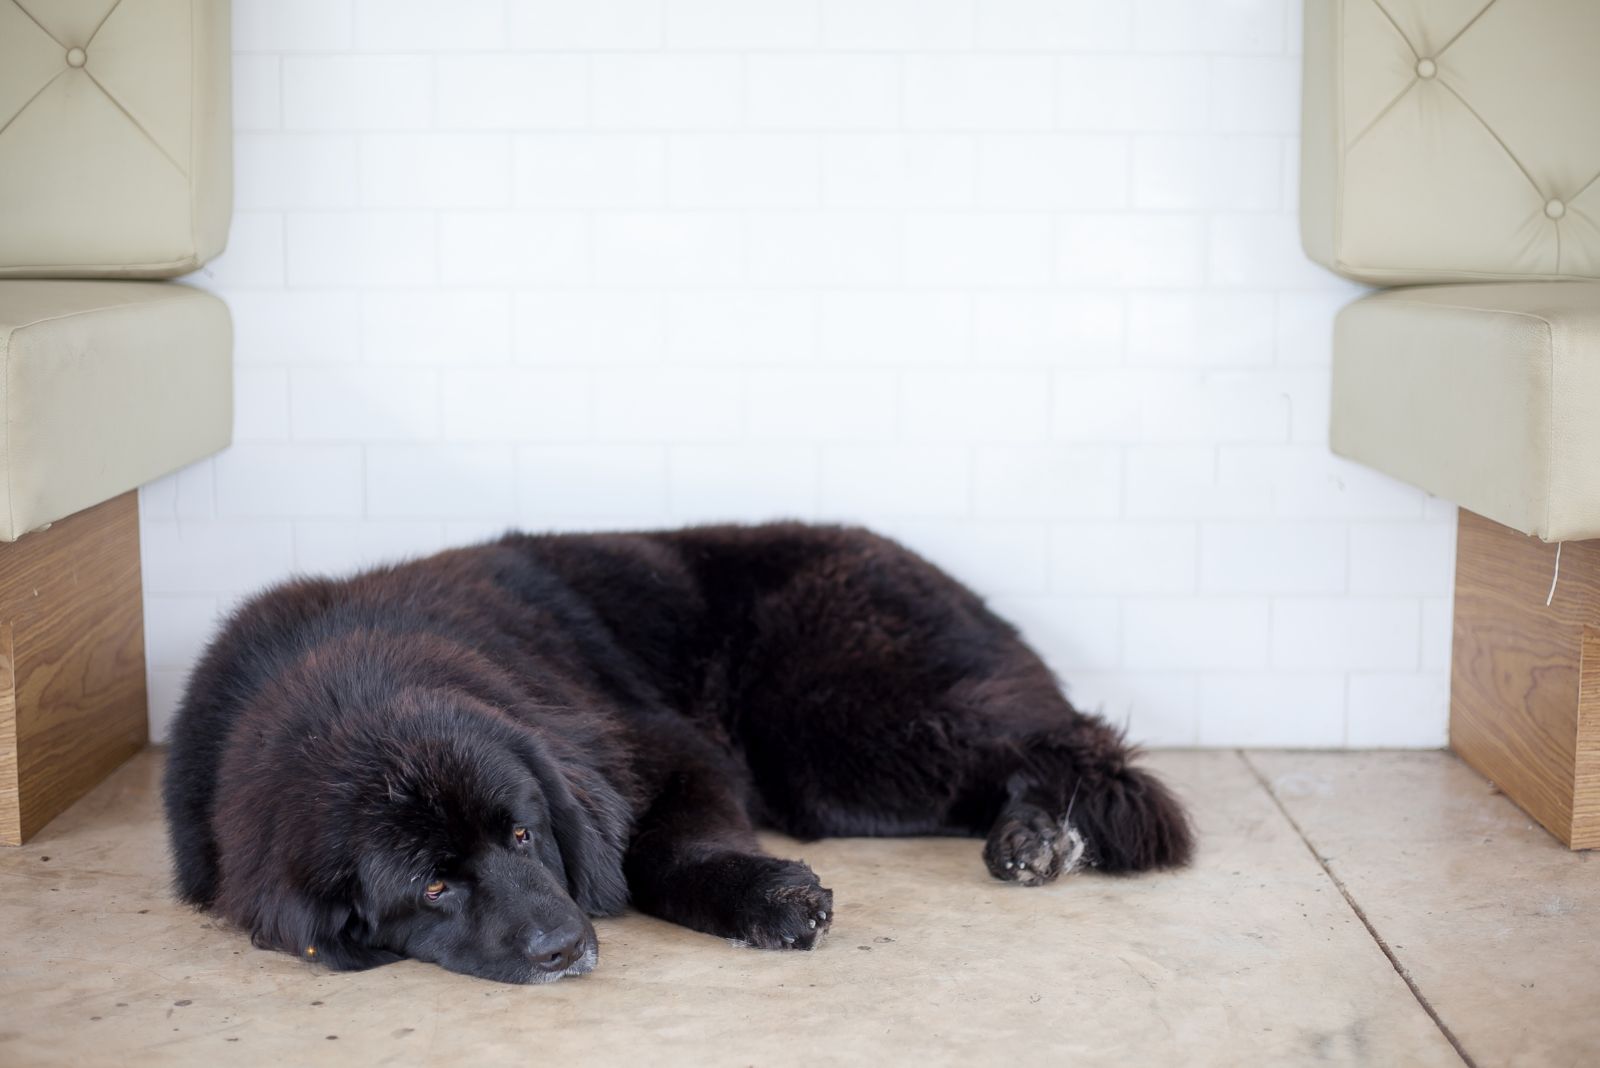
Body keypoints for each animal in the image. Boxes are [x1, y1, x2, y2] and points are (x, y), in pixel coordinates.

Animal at [165, 521, 1190, 978]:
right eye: (432, 887)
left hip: (835, 727)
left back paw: (1051, 830)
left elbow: (658, 851)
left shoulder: (668, 746)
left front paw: (766, 899)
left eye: (525, 834)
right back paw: (1032, 837)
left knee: (1053, 739)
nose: (561, 947)